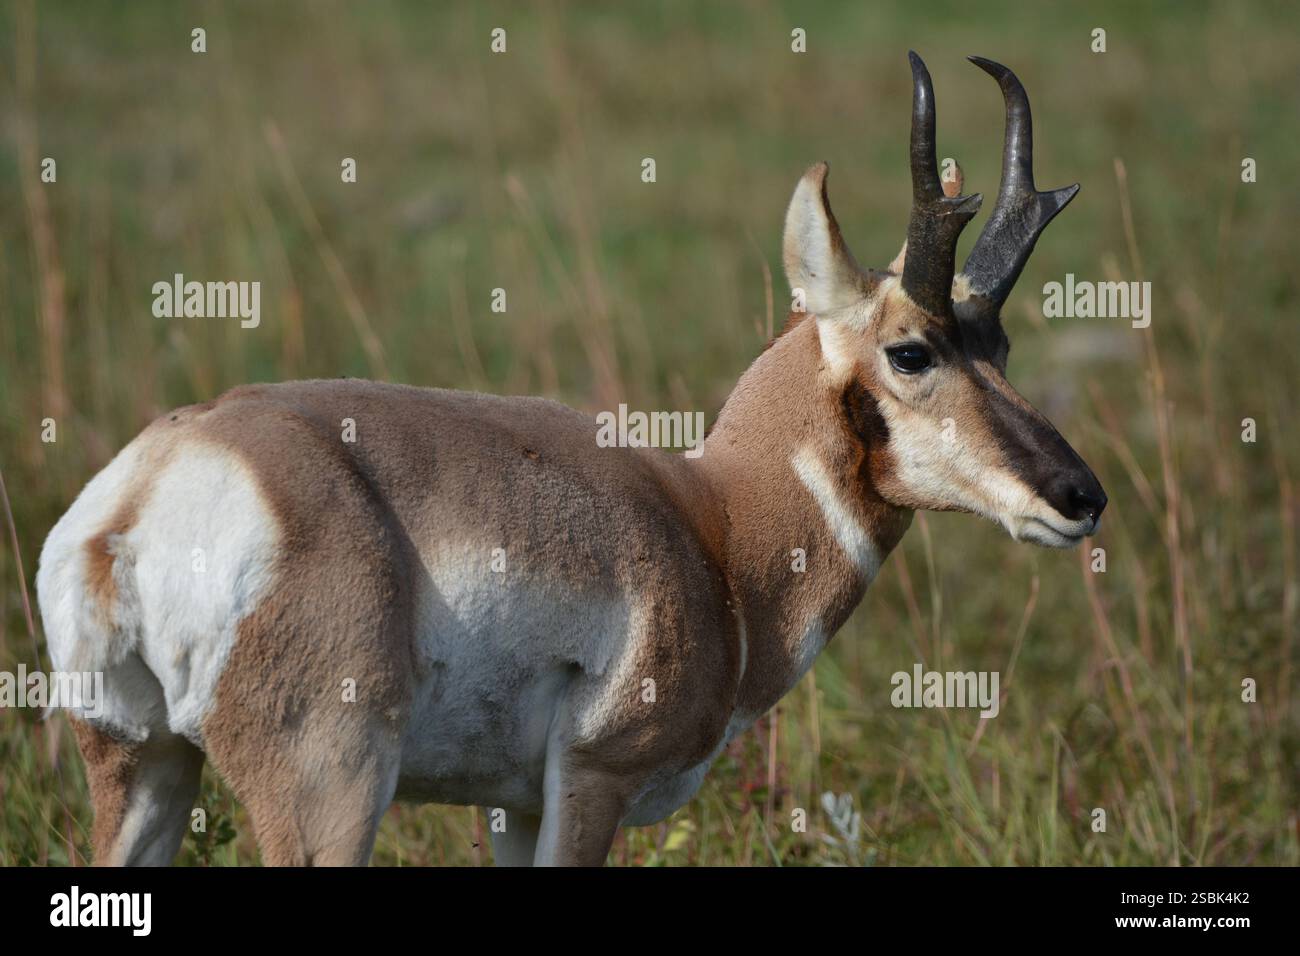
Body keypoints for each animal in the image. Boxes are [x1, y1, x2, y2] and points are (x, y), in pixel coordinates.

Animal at [37, 52, 1105, 867]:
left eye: (1000, 344)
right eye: (911, 350)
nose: (1079, 495)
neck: (713, 520)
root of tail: (145, 492)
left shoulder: (512, 806)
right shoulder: (592, 781)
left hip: (142, 767)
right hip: (328, 790)